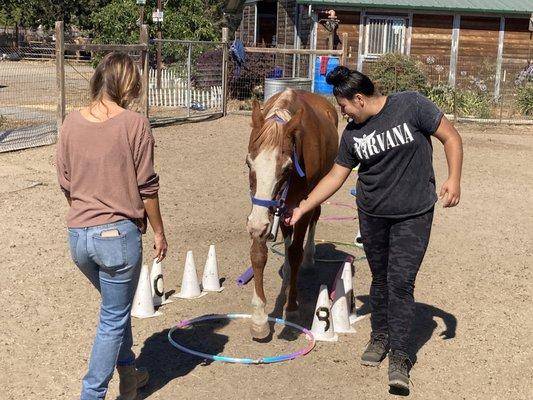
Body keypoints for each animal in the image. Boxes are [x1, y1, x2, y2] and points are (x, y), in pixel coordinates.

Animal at [244, 89, 336, 340]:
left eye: (286, 169)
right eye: (249, 164)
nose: (255, 225)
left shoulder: (301, 208)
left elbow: (296, 252)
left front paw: (292, 306)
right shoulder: (263, 211)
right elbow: (259, 254)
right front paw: (259, 319)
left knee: (314, 220)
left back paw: (309, 258)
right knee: (286, 234)